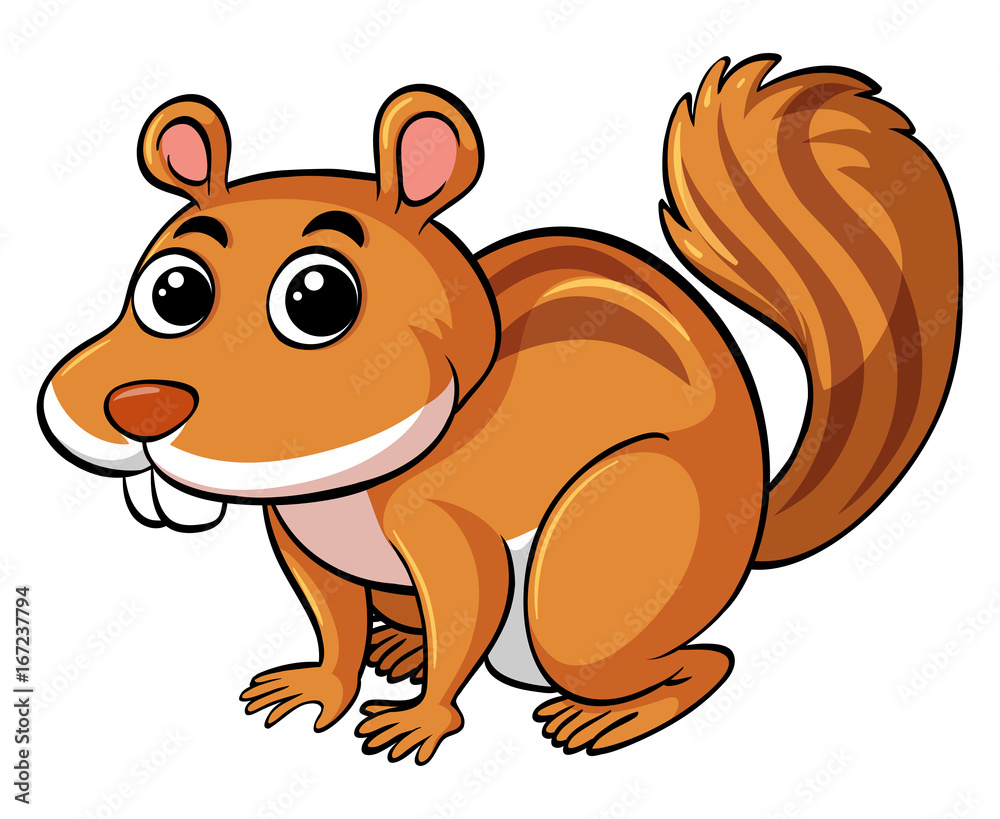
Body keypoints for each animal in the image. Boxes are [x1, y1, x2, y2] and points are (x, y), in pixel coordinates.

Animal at [38, 55, 961, 762]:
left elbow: (465, 612)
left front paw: (418, 722)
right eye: (172, 290)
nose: (142, 407)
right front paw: (322, 685)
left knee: (704, 660)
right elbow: (333, 620)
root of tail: (753, 516)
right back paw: (400, 645)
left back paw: (609, 714)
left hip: (593, 576)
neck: (342, 490)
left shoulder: (451, 533)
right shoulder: (304, 546)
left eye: (319, 297)